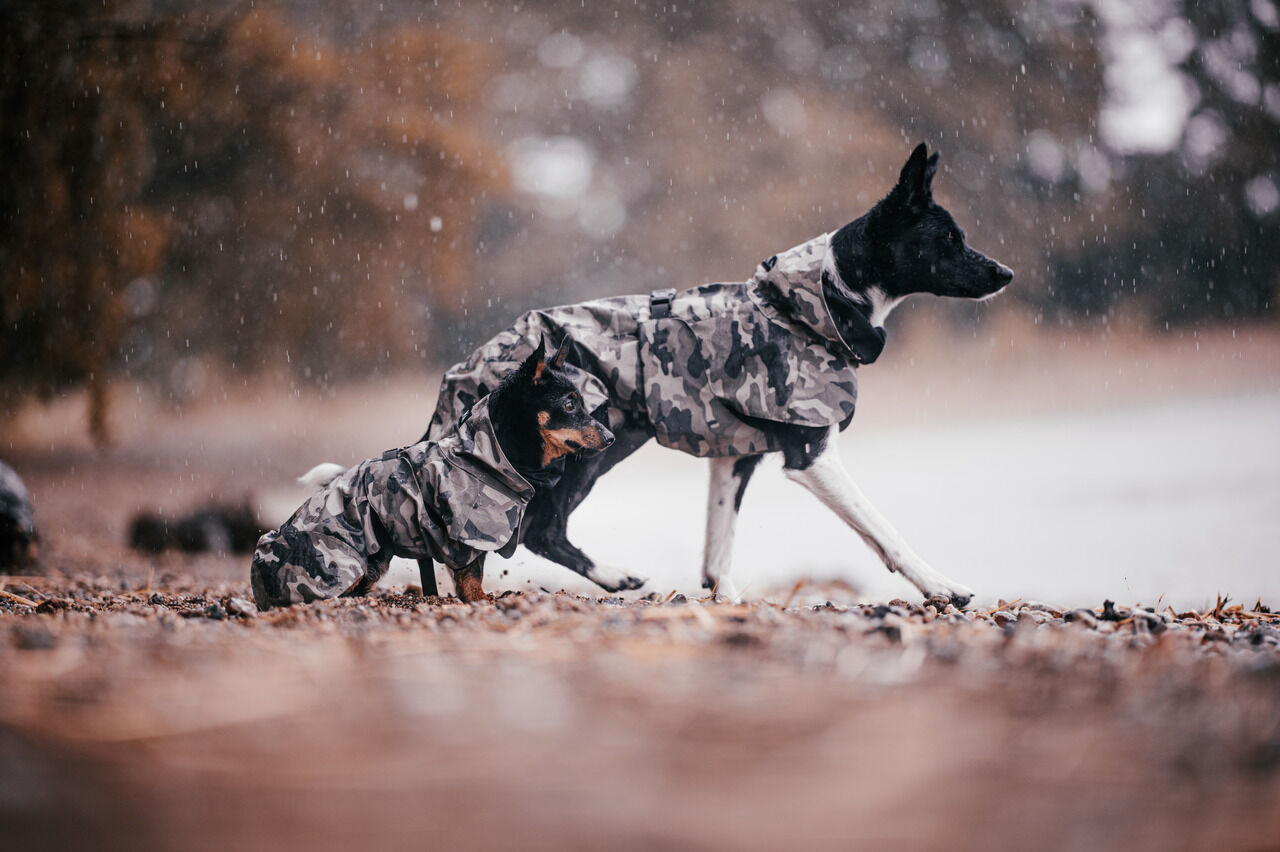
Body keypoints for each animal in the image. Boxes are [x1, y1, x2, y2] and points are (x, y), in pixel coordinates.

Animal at [435, 142, 1013, 601]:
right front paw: (940, 585)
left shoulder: (734, 457)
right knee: (540, 530)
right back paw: (614, 576)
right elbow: (883, 527)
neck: (816, 303)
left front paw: (725, 597)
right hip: (589, 448)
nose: (1006, 273)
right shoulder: (813, 455)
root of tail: (475, 362)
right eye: (949, 240)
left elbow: (720, 543)